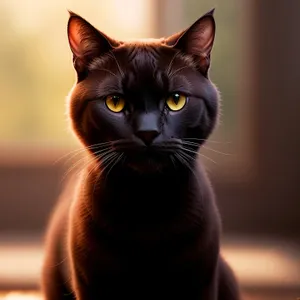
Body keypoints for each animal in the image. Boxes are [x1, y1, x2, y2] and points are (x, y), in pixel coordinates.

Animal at [40, 8, 241, 298]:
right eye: (115, 102)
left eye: (176, 100)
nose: (148, 132)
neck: (146, 205)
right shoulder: (92, 282)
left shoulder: (201, 281)